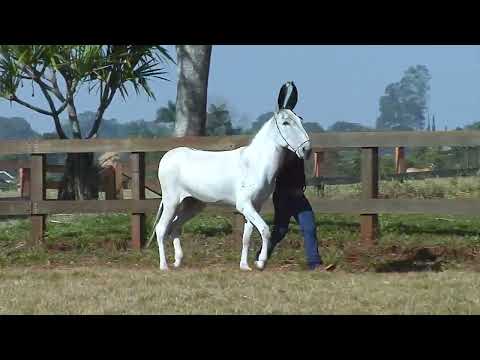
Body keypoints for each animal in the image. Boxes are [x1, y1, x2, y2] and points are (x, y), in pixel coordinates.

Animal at [146, 83, 312, 272]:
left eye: (300, 119)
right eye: (286, 122)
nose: (306, 150)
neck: (254, 163)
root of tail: (167, 157)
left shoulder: (255, 206)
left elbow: (247, 237)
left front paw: (245, 266)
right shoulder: (244, 204)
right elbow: (265, 230)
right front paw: (261, 262)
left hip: (192, 204)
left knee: (175, 226)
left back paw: (178, 262)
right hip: (171, 201)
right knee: (161, 229)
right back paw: (164, 265)